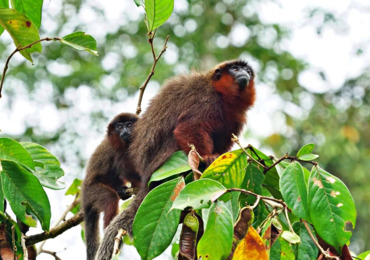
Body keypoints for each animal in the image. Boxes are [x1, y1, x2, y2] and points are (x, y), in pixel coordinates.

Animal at [81, 112, 140, 260]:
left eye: (129, 125)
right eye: (119, 127)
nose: (124, 131)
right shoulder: (116, 149)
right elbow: (121, 170)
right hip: (91, 191)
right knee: (110, 198)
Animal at [97, 60, 256, 258]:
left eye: (247, 70)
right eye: (235, 69)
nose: (244, 72)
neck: (222, 95)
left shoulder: (236, 117)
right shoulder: (206, 99)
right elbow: (188, 127)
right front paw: (207, 158)